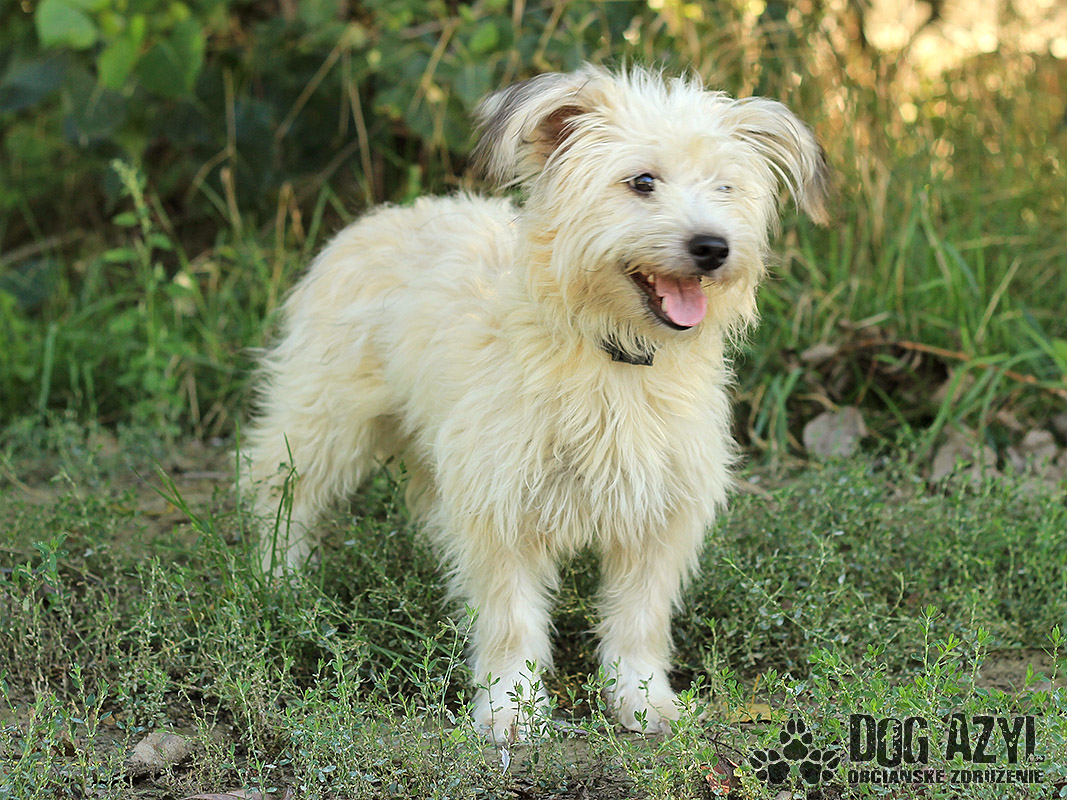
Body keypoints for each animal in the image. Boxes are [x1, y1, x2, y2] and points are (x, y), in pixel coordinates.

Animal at [241, 64, 828, 743]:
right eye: (642, 181)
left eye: (725, 186)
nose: (713, 246)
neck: (613, 358)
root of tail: (387, 215)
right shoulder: (503, 512)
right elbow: (510, 620)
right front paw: (510, 708)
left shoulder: (657, 515)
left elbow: (639, 620)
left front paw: (643, 700)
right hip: (323, 422)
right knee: (282, 495)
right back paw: (280, 583)